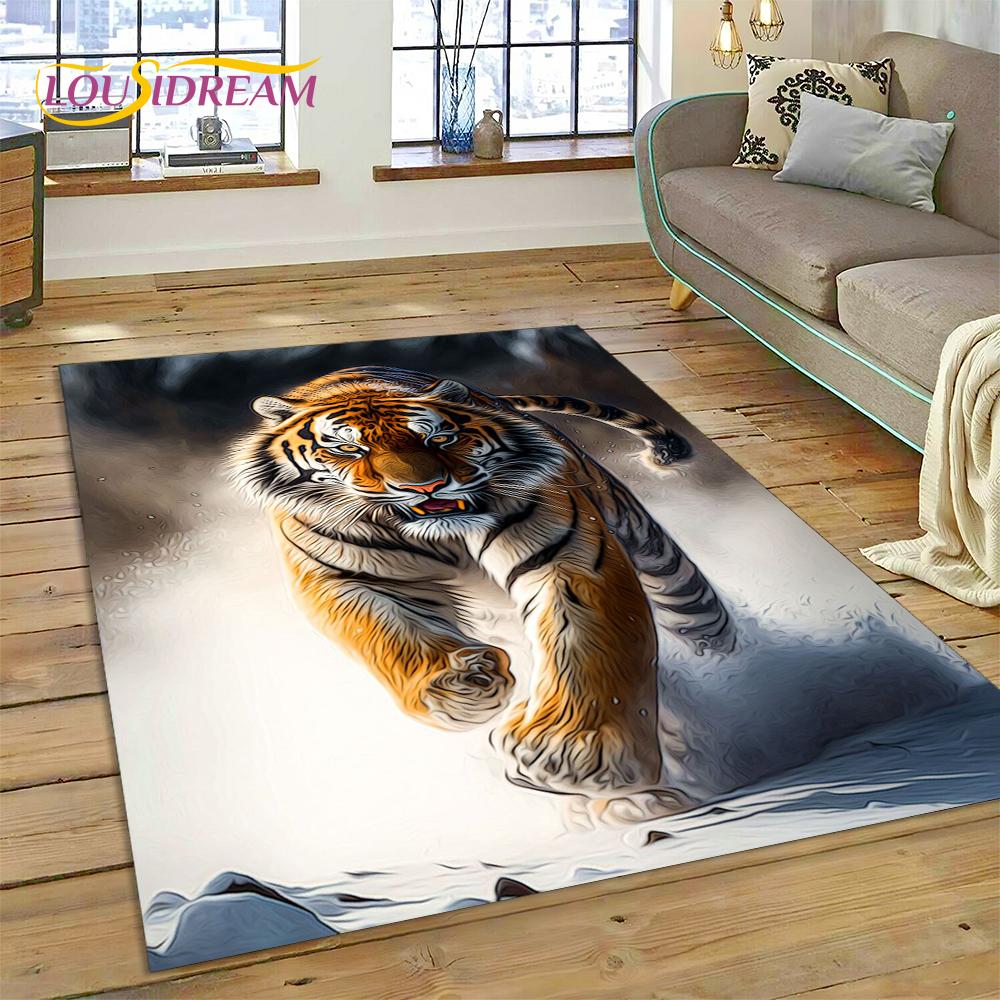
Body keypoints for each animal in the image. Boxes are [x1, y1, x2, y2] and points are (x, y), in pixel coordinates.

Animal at [230, 366, 733, 800]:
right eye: (348, 450)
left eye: (439, 437)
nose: (425, 487)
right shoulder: (338, 575)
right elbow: (383, 631)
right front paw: (458, 686)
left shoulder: (567, 555)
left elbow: (589, 638)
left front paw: (576, 751)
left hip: (656, 556)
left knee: (700, 614)